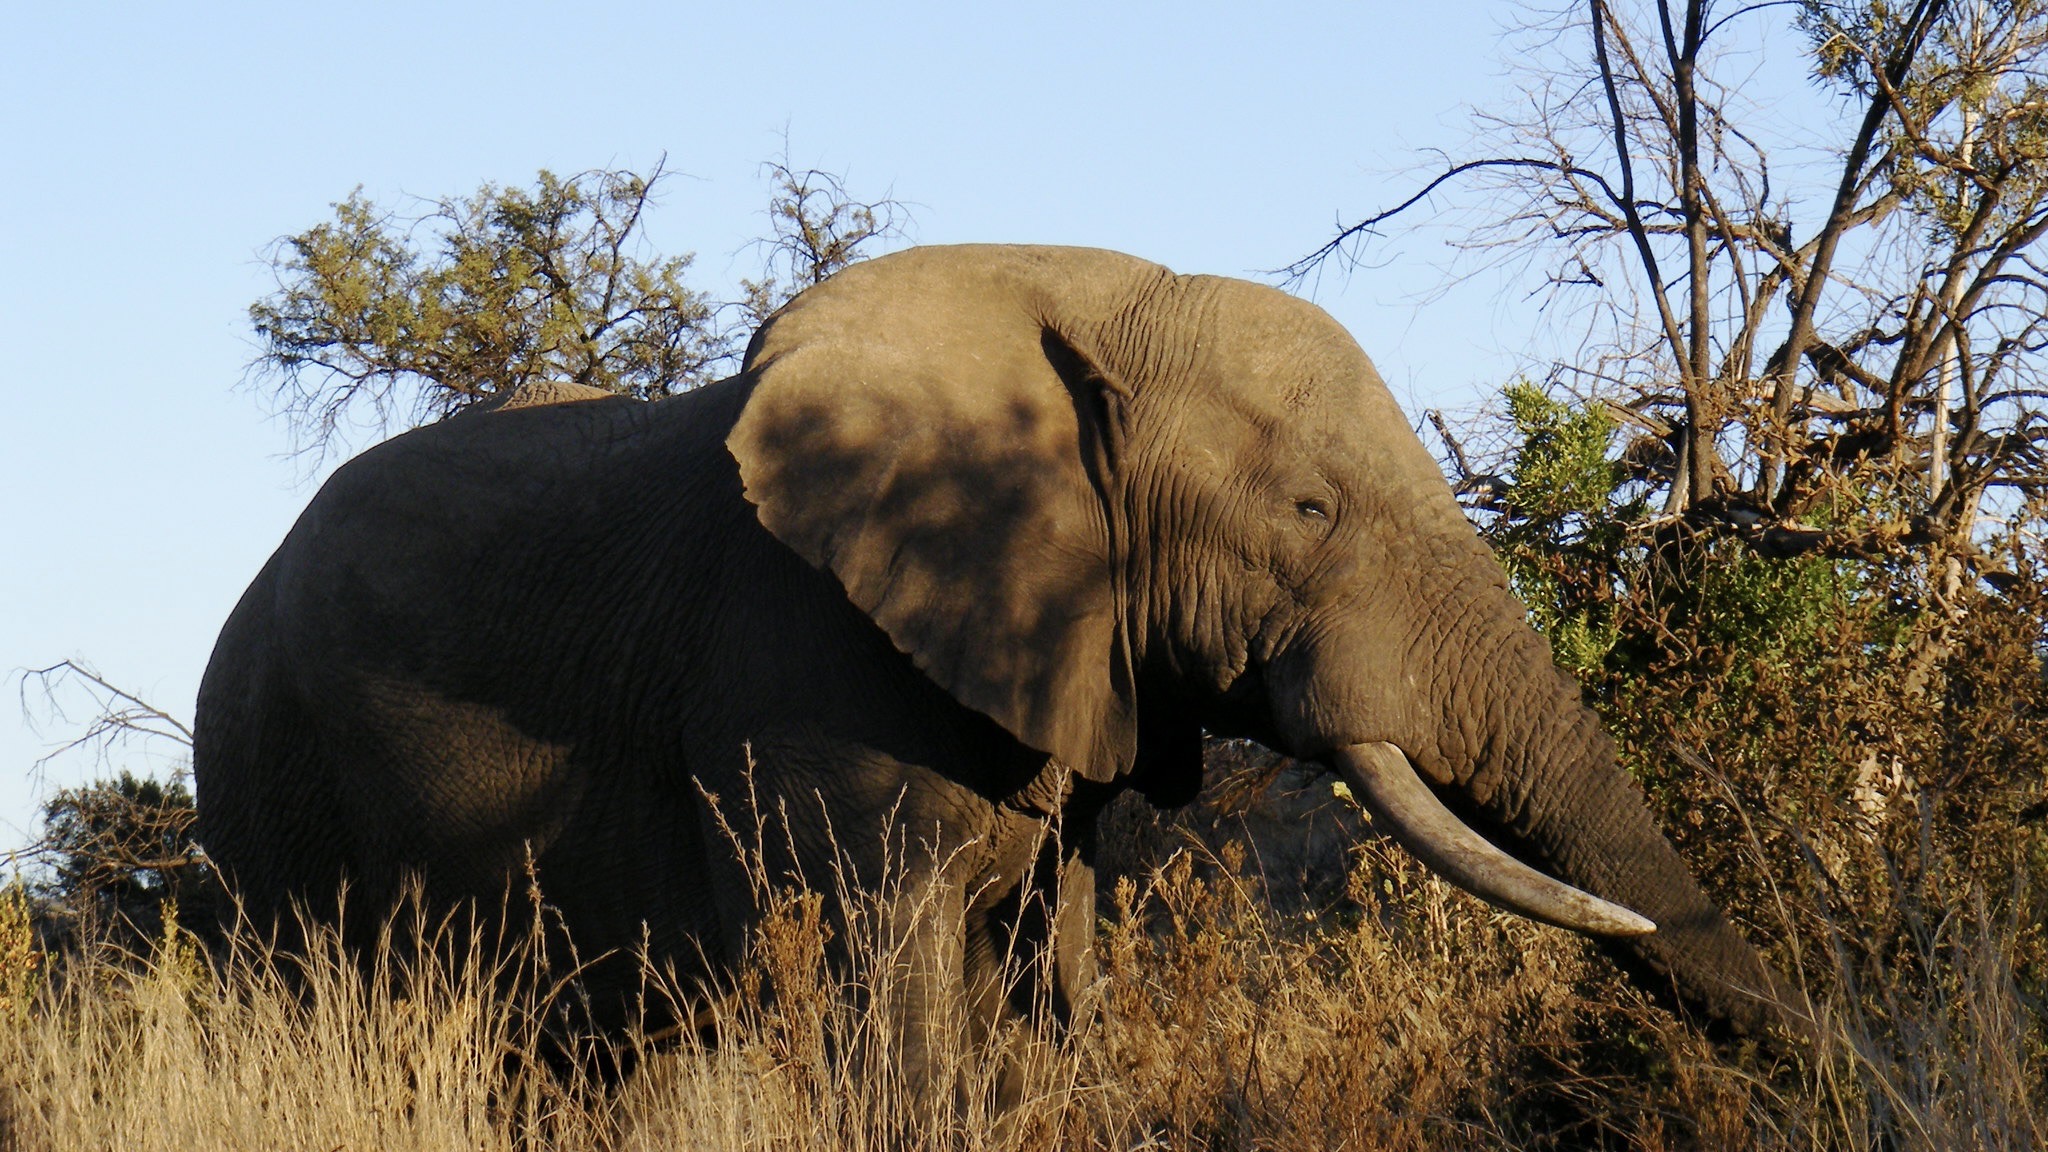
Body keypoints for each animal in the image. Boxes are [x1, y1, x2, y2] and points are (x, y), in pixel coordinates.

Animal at [188, 243, 1794, 1090]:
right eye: (1308, 512)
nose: (1820, 1055)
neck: (1083, 303)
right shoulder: (799, 672)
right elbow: (890, 1014)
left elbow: (1048, 988)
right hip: (269, 790)